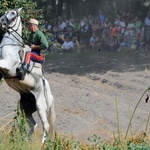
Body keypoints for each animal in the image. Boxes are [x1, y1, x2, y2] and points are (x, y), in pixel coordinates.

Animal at [0, 8, 55, 143]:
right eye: (6, 11)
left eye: (13, 13)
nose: (1, 20)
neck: (11, 46)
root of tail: (50, 96)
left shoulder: (7, 64)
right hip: (25, 108)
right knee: (33, 124)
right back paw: (24, 141)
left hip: (40, 106)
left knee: (46, 125)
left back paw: (41, 144)